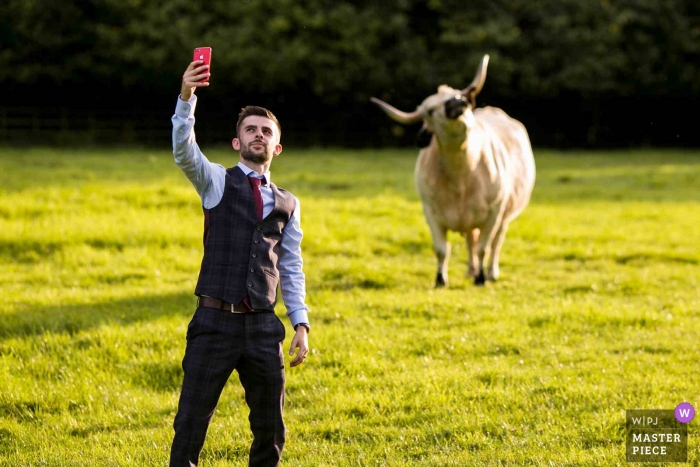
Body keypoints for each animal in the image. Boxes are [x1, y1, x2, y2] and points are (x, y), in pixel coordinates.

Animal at [372, 56, 536, 288]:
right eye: (430, 110)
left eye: (461, 96)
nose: (457, 103)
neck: (462, 175)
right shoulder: (431, 213)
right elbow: (442, 250)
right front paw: (441, 279)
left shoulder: (494, 214)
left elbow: (484, 247)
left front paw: (480, 278)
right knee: (470, 240)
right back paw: (470, 270)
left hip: (505, 215)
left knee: (495, 243)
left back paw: (491, 272)